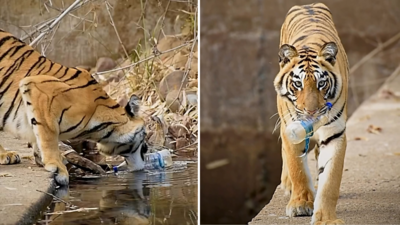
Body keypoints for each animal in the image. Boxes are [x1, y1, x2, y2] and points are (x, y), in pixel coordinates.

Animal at [0, 29, 148, 185]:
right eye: (144, 142)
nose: (146, 148)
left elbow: (37, 134)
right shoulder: (37, 89)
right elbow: (48, 135)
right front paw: (57, 167)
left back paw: (6, 155)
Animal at [274, 2, 348, 224]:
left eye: (321, 83)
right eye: (298, 84)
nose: (312, 111)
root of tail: (308, 4)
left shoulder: (335, 134)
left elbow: (330, 181)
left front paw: (325, 218)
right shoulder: (291, 129)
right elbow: (297, 169)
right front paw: (301, 204)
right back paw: (287, 184)